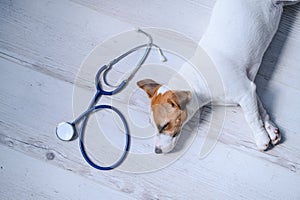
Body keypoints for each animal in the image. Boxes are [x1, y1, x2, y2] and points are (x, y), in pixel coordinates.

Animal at [137, 0, 298, 154]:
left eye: (165, 125)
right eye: (152, 125)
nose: (157, 151)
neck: (197, 79)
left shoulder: (245, 92)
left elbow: (252, 118)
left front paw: (261, 138)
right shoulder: (249, 88)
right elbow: (260, 110)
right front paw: (270, 129)